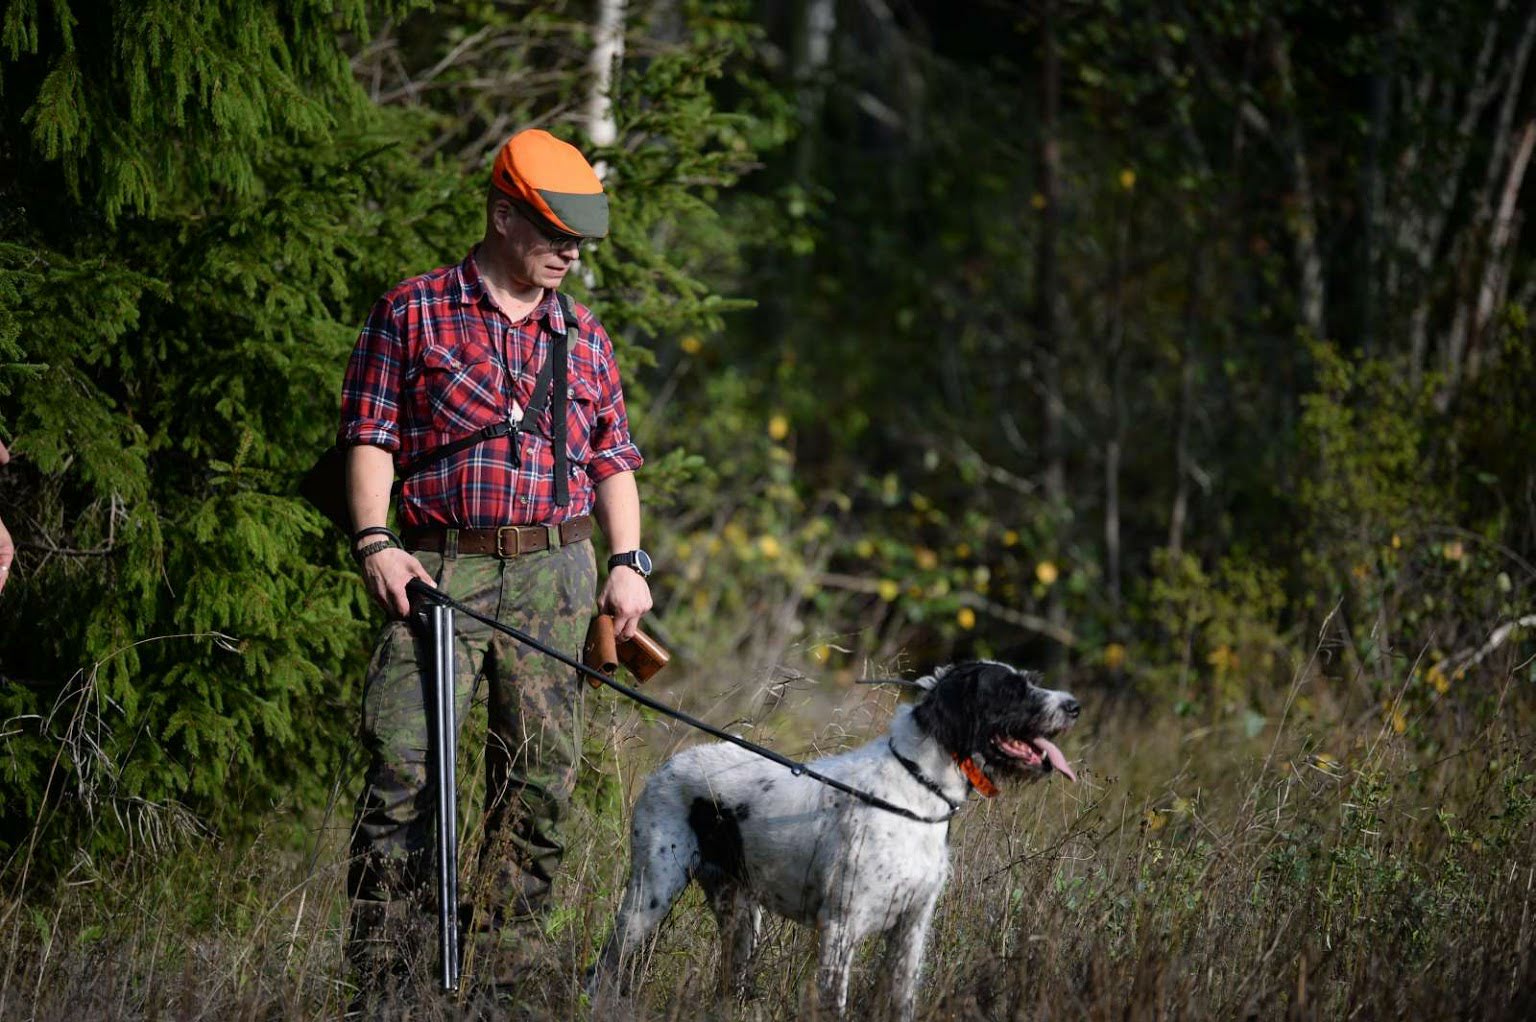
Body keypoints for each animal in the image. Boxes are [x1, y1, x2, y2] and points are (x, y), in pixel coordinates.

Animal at [586, 657, 1081, 1014]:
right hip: (648, 896)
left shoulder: (911, 929)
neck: (917, 791)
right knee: (602, 969)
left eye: (1030, 681)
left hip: (741, 915)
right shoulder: (841, 929)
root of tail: (667, 766)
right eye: (1012, 690)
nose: (1074, 705)